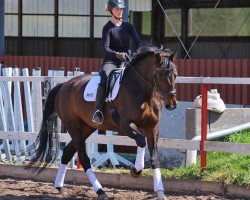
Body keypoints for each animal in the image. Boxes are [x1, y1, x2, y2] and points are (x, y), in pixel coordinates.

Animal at [27, 45, 178, 200]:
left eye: (175, 75)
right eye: (161, 75)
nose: (172, 104)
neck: (141, 92)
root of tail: (64, 85)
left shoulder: (152, 127)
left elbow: (154, 157)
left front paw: (160, 192)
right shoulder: (124, 125)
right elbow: (141, 141)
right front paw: (135, 170)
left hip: (86, 128)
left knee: (67, 152)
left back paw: (60, 187)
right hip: (74, 127)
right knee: (84, 158)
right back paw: (100, 191)